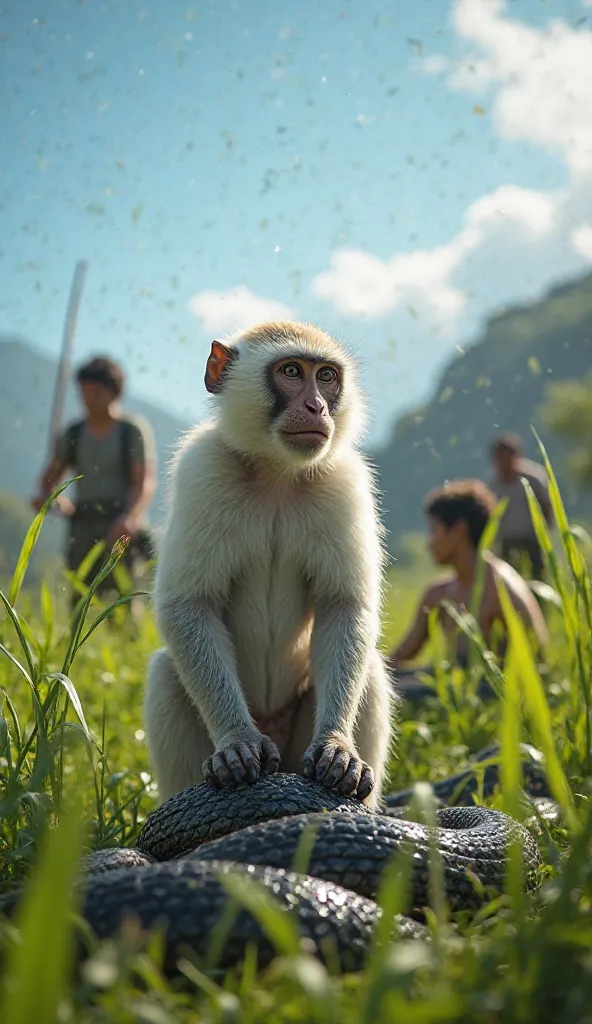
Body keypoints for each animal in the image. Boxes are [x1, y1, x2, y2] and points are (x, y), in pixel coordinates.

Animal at [141, 319, 397, 806]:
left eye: (326, 376)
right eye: (292, 371)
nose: (317, 406)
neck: (278, 473)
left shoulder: (345, 482)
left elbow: (343, 608)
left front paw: (337, 745)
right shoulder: (203, 470)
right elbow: (189, 607)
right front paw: (237, 741)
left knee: (370, 669)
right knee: (165, 673)